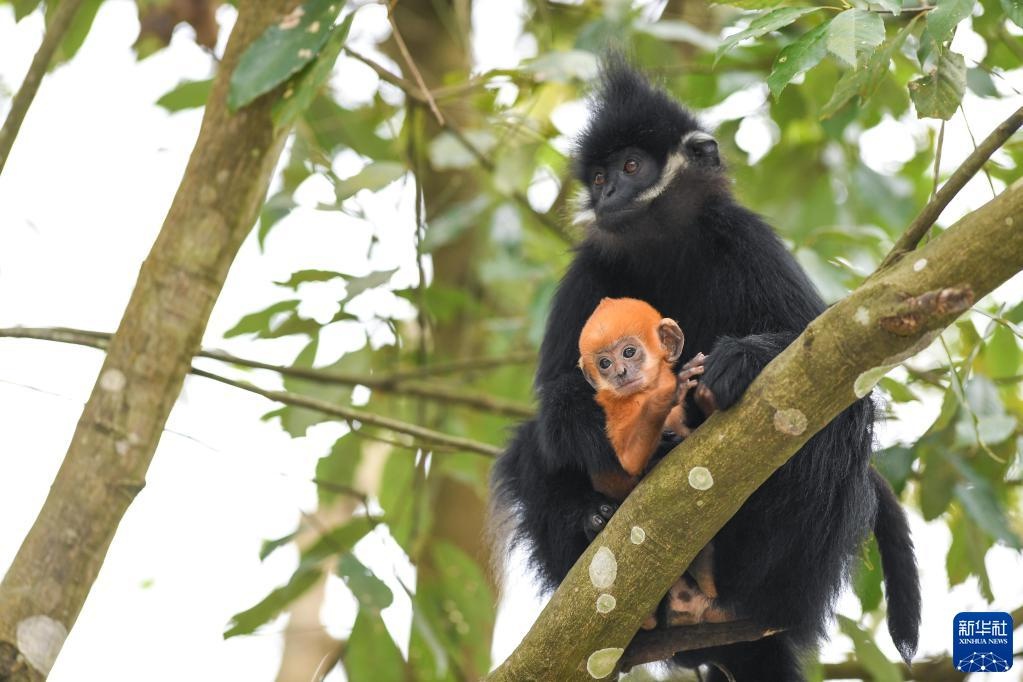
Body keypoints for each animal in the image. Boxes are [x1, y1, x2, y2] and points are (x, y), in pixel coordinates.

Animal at [576, 298, 728, 629]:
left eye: (628, 352)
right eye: (604, 363)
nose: (620, 372)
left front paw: (706, 395)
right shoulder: (615, 407)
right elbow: (629, 460)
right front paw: (667, 395)